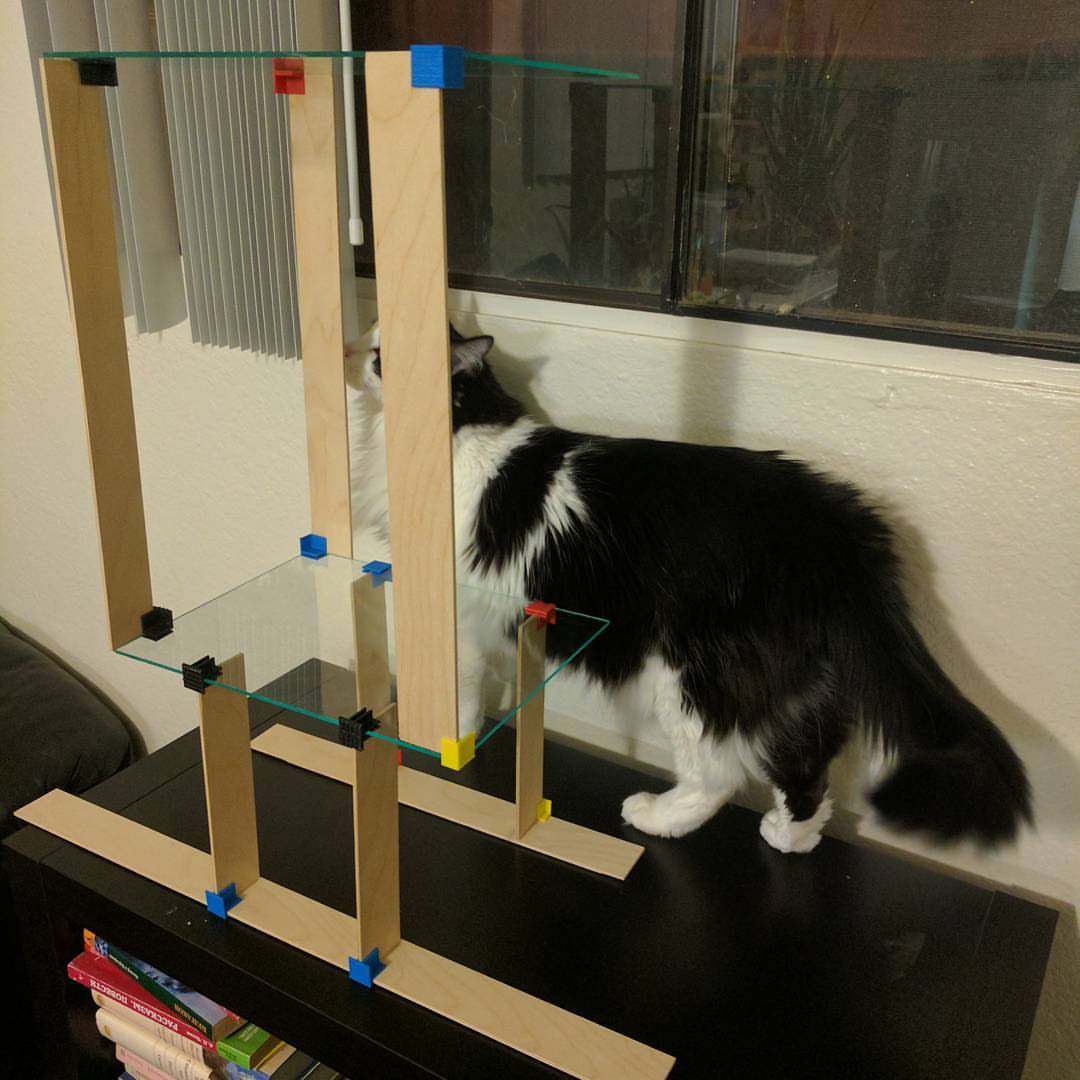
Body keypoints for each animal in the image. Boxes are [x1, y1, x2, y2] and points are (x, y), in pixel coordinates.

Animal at [345, 322, 1032, 854]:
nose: (363, 336)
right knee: (807, 772)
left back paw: (655, 816)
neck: (462, 428)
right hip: (796, 689)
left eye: (384, 350)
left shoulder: (455, 613)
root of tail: (839, 528)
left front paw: (442, 744)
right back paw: (790, 838)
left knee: (719, 777)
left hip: (693, 679)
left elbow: (455, 694)